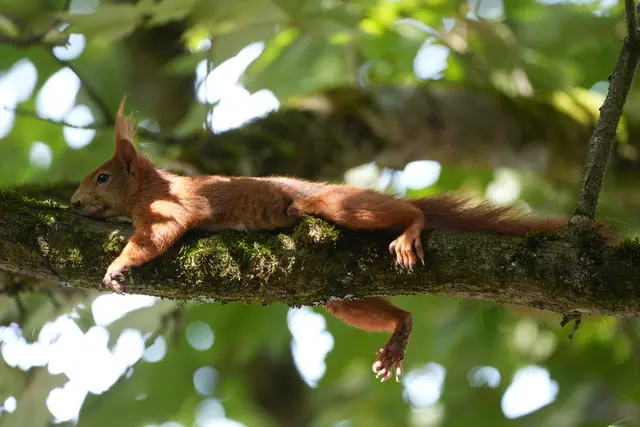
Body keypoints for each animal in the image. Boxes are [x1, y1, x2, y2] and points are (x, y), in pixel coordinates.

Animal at [70, 98, 615, 382]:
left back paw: (411, 227)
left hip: (332, 206)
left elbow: (155, 236)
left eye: (102, 177)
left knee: (398, 213)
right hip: (339, 291)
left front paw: (118, 266)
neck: (151, 185)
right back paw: (399, 332)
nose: (74, 203)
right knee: (380, 308)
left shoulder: (171, 208)